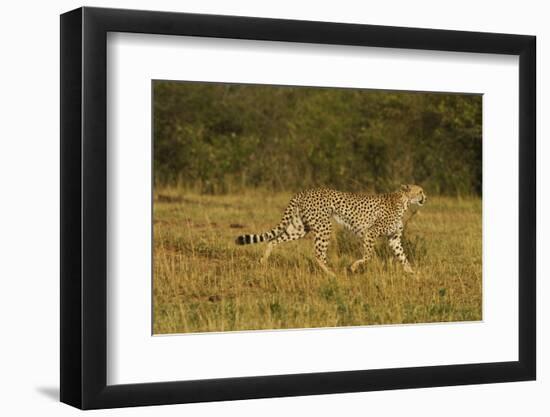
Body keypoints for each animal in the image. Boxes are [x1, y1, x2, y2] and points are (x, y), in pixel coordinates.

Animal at [235, 184, 430, 274]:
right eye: (420, 191)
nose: (426, 197)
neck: (404, 202)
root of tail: (304, 191)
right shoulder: (371, 233)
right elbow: (368, 256)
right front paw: (353, 267)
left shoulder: (394, 238)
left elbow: (403, 257)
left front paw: (413, 273)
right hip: (324, 227)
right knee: (318, 254)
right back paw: (332, 273)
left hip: (300, 228)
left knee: (273, 239)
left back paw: (263, 261)